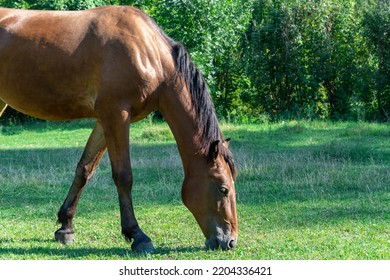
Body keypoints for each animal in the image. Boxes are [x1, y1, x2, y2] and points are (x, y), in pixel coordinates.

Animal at [0, 6, 238, 252]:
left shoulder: (103, 120)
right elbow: (124, 176)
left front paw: (66, 226)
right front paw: (137, 235)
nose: (230, 241)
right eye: (223, 189)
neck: (149, 53)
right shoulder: (116, 115)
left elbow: (84, 170)